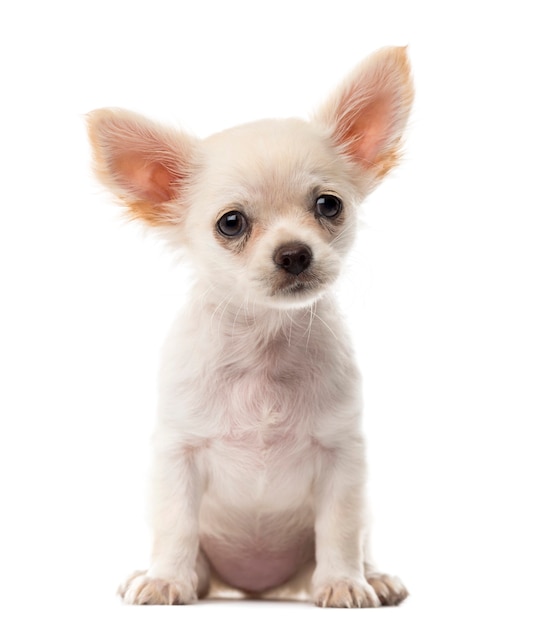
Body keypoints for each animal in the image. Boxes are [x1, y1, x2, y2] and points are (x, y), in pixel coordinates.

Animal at [86, 47, 412, 604]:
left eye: (329, 205)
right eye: (232, 223)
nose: (295, 254)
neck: (266, 342)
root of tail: (259, 586)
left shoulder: (344, 458)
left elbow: (342, 529)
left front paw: (344, 582)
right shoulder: (177, 455)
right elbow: (176, 525)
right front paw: (165, 579)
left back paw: (373, 576)